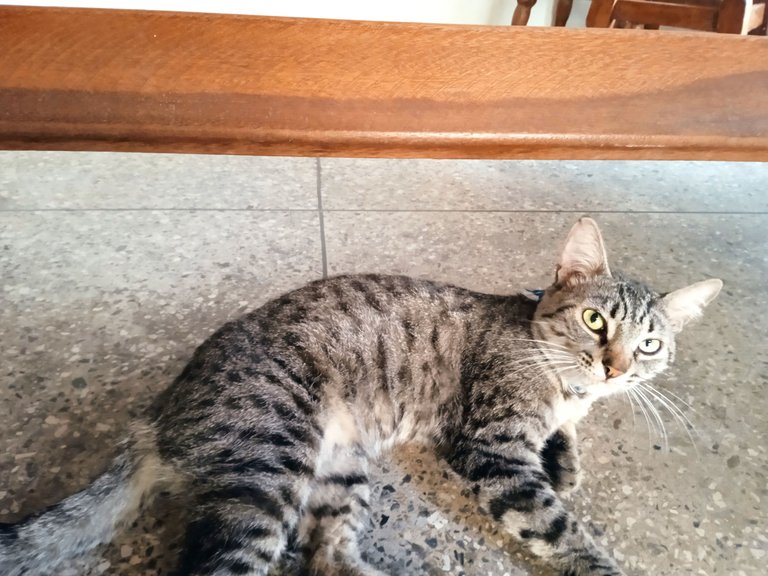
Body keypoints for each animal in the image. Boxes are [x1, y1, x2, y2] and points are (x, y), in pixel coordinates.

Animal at [0, 217, 722, 576]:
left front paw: (568, 455)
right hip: (268, 466)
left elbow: (567, 435)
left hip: (339, 467)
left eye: (649, 346)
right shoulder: (493, 452)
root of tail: (159, 414)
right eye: (596, 320)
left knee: (326, 557)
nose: (614, 367)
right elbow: (559, 527)